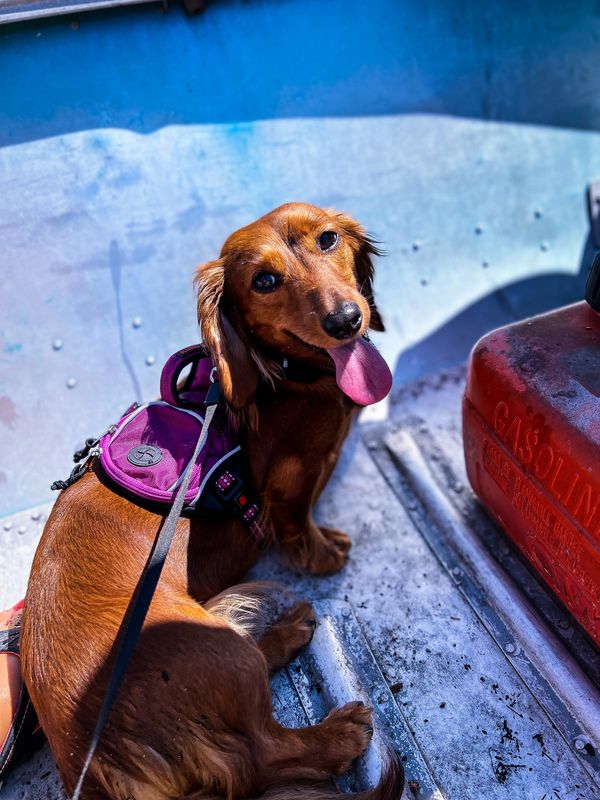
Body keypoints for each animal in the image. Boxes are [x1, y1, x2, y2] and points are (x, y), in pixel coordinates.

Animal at [22, 203, 404, 796]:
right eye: (264, 281)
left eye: (328, 239)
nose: (345, 320)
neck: (283, 377)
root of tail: (98, 756)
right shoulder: (297, 474)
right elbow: (300, 521)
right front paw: (324, 554)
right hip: (217, 650)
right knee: (264, 755)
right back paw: (339, 734)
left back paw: (288, 633)